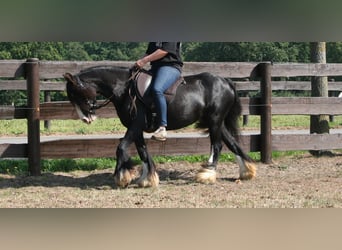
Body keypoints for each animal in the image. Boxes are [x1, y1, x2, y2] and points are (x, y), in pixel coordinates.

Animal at [65, 66, 256, 188]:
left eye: (76, 93)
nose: (86, 118)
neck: (125, 89)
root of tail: (225, 81)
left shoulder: (135, 126)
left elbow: (121, 147)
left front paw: (123, 177)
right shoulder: (136, 129)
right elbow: (142, 151)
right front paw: (147, 179)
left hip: (215, 121)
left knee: (217, 145)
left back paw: (207, 175)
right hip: (217, 122)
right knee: (232, 143)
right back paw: (246, 172)